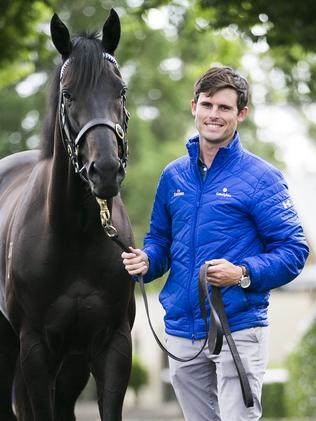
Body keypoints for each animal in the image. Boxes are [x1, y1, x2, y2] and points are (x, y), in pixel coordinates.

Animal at [0, 8, 135, 418]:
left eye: (120, 90)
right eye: (67, 94)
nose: (104, 171)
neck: (75, 235)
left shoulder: (112, 345)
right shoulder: (35, 347)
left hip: (72, 363)